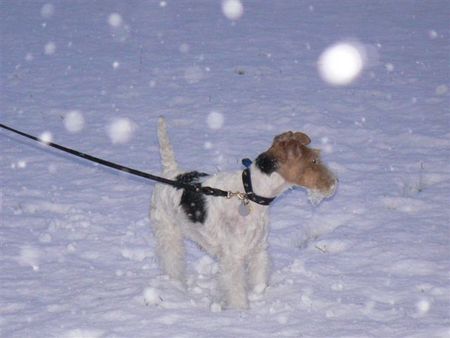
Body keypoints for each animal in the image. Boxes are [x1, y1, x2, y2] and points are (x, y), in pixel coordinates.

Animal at [149, 118, 336, 308]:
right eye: (313, 160)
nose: (334, 183)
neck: (250, 192)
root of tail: (171, 173)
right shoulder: (233, 257)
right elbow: (236, 289)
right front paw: (241, 310)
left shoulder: (258, 249)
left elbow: (259, 281)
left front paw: (260, 297)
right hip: (168, 232)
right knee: (171, 259)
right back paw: (175, 285)